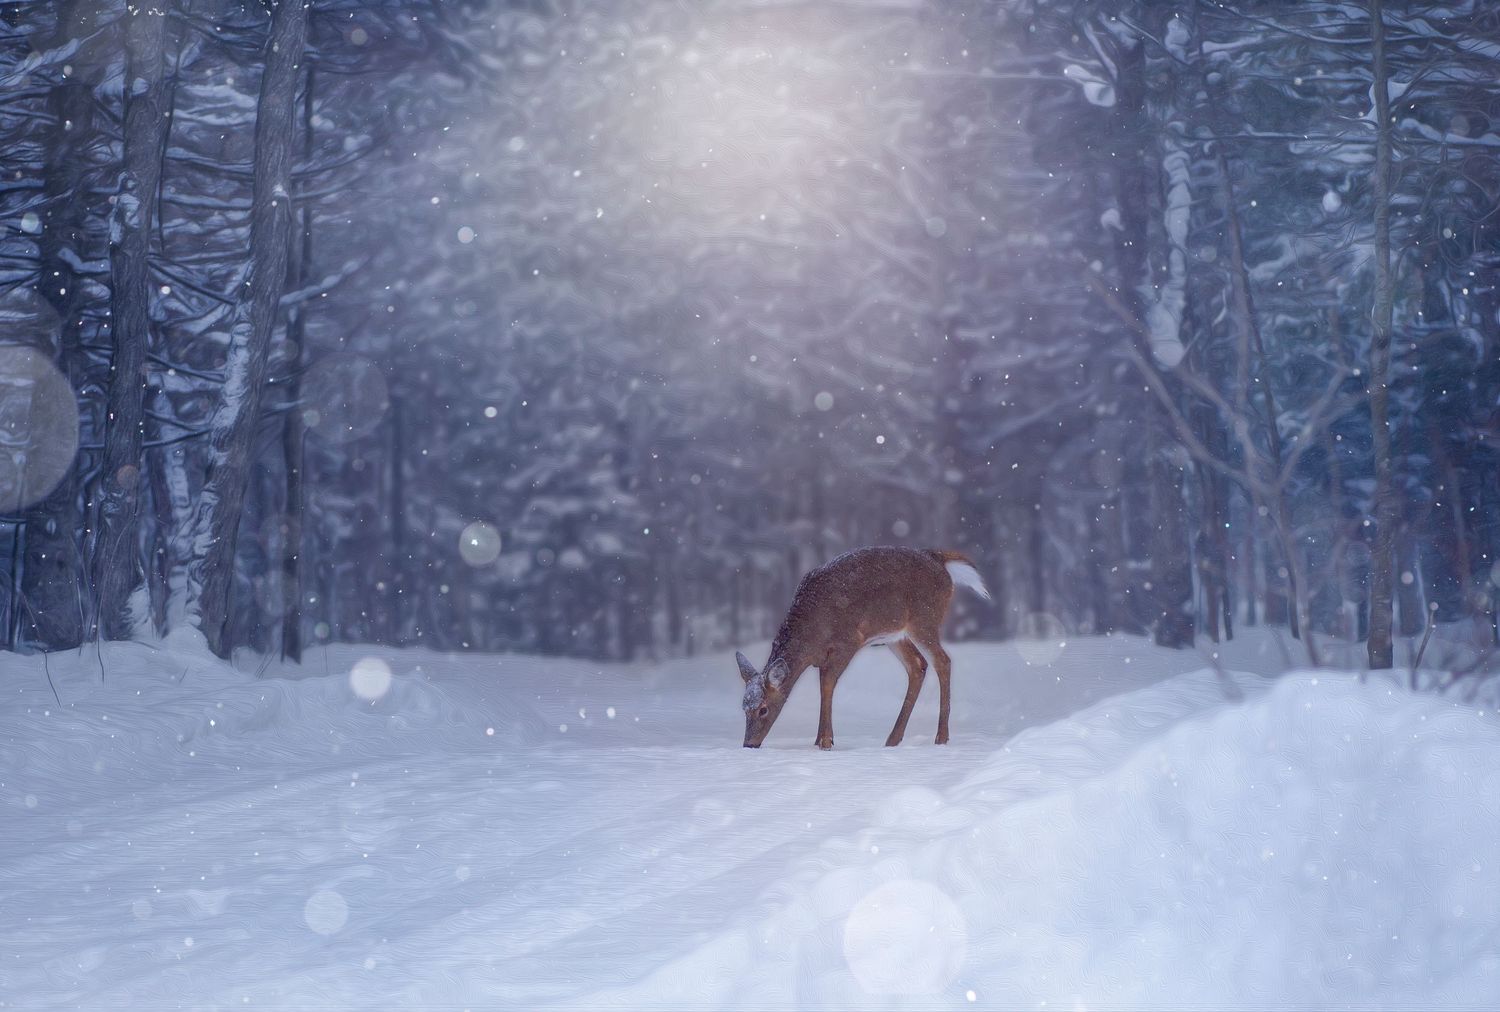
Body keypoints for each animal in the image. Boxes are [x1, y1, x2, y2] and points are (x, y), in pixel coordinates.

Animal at [736, 546, 989, 750]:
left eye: (763, 709)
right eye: (744, 707)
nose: (749, 744)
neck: (811, 637)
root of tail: (939, 560)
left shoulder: (847, 641)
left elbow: (827, 682)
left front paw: (826, 741)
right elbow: (823, 683)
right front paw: (819, 740)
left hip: (924, 620)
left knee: (943, 661)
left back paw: (941, 737)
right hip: (894, 635)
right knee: (918, 665)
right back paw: (893, 739)